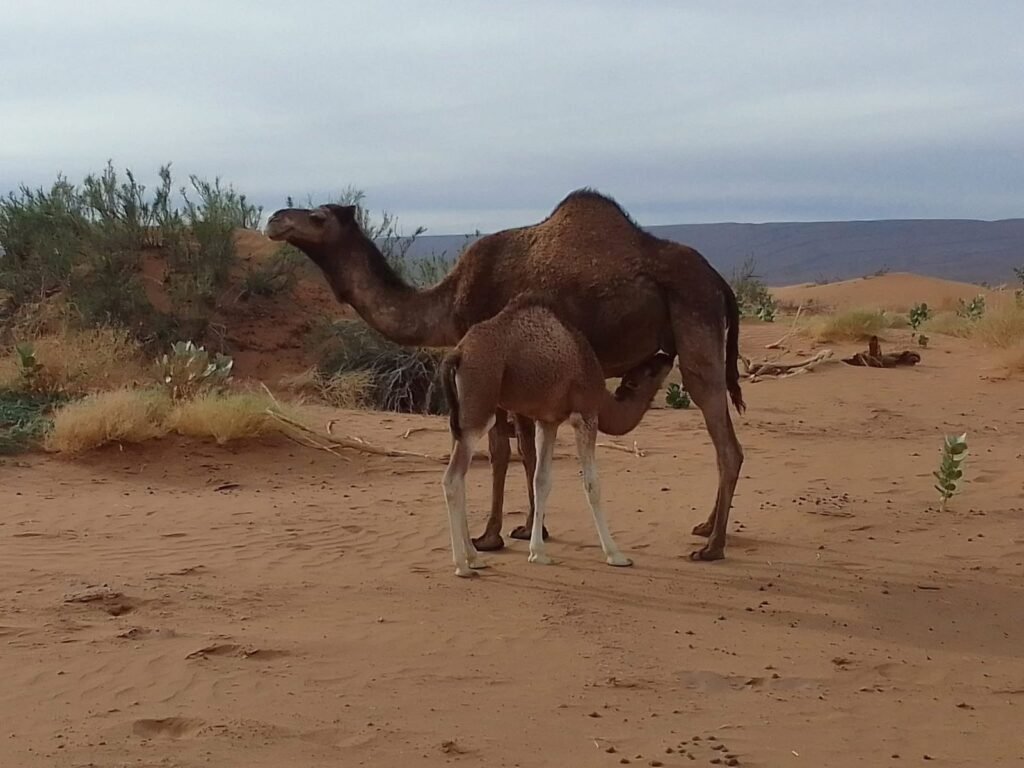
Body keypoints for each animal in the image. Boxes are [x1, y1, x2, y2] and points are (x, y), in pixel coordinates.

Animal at [439, 297, 673, 577]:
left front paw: (538, 553)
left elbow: (541, 480)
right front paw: (616, 555)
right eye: (650, 371)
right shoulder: (585, 415)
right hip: (478, 409)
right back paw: (463, 566)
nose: (667, 356)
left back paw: (475, 557)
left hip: (461, 418)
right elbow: (592, 485)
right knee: (452, 479)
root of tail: (458, 354)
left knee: (460, 476)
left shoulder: (548, 421)